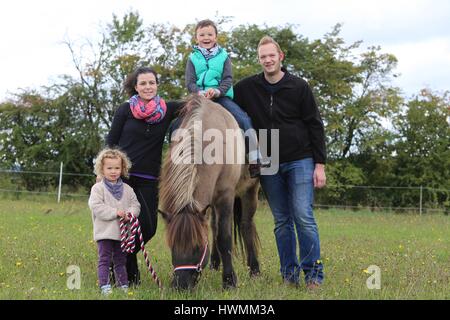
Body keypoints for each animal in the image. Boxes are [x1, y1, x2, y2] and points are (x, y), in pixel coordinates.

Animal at [160, 95, 262, 290]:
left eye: (198, 246)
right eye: (172, 245)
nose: (180, 285)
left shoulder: (226, 195)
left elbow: (225, 237)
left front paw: (229, 281)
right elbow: (215, 231)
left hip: (250, 190)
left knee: (246, 224)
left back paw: (254, 270)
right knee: (214, 226)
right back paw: (215, 264)